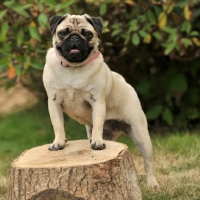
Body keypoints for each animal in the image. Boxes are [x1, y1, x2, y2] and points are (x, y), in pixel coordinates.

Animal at [43, 13, 159, 187]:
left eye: (87, 33)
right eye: (63, 33)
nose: (75, 37)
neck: (73, 68)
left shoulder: (97, 101)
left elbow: (98, 123)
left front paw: (97, 142)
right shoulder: (53, 102)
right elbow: (58, 125)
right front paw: (59, 142)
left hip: (140, 134)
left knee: (148, 162)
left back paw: (152, 184)